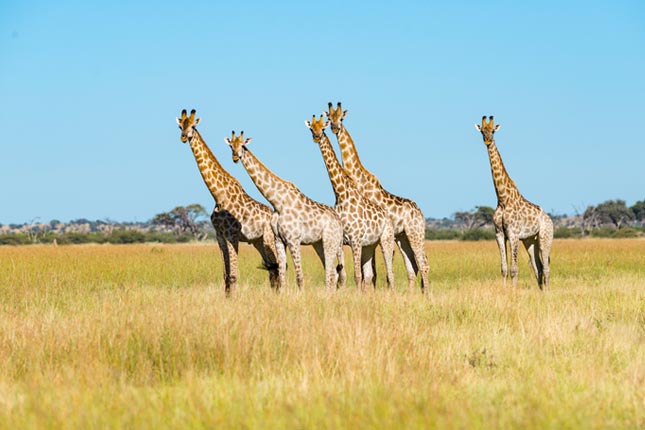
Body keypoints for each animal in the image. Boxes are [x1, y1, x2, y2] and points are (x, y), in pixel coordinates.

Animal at [176, 109, 279, 293]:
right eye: (180, 126)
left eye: (193, 126)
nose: (183, 136)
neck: (218, 194)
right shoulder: (220, 236)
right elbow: (225, 275)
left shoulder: (232, 234)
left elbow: (233, 275)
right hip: (258, 242)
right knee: (272, 270)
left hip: (268, 238)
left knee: (278, 268)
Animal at [225, 131, 346, 290]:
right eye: (231, 146)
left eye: (243, 145)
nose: (234, 156)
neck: (278, 202)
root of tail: (339, 222)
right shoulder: (278, 239)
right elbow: (281, 276)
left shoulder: (293, 240)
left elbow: (299, 277)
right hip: (320, 243)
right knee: (333, 272)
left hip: (330, 241)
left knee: (331, 273)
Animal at [305, 115, 396, 290]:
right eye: (311, 128)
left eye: (323, 128)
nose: (317, 137)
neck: (341, 195)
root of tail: (387, 217)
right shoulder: (342, 242)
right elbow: (343, 275)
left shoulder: (355, 240)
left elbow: (357, 275)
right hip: (369, 245)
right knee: (370, 275)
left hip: (385, 240)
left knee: (390, 273)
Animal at [325, 102, 430, 292]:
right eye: (330, 118)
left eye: (341, 118)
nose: (335, 128)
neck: (357, 178)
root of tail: (421, 212)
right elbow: (369, 271)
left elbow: (371, 272)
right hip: (403, 237)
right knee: (414, 266)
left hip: (415, 233)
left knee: (424, 263)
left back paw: (426, 293)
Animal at [474, 116, 553, 290]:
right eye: (482, 131)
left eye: (493, 131)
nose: (487, 141)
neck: (503, 199)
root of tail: (550, 219)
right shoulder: (499, 233)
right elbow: (504, 268)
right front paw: (505, 291)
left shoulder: (514, 234)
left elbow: (514, 269)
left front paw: (513, 292)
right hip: (530, 241)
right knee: (537, 266)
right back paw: (541, 292)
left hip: (545, 238)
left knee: (546, 267)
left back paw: (548, 292)